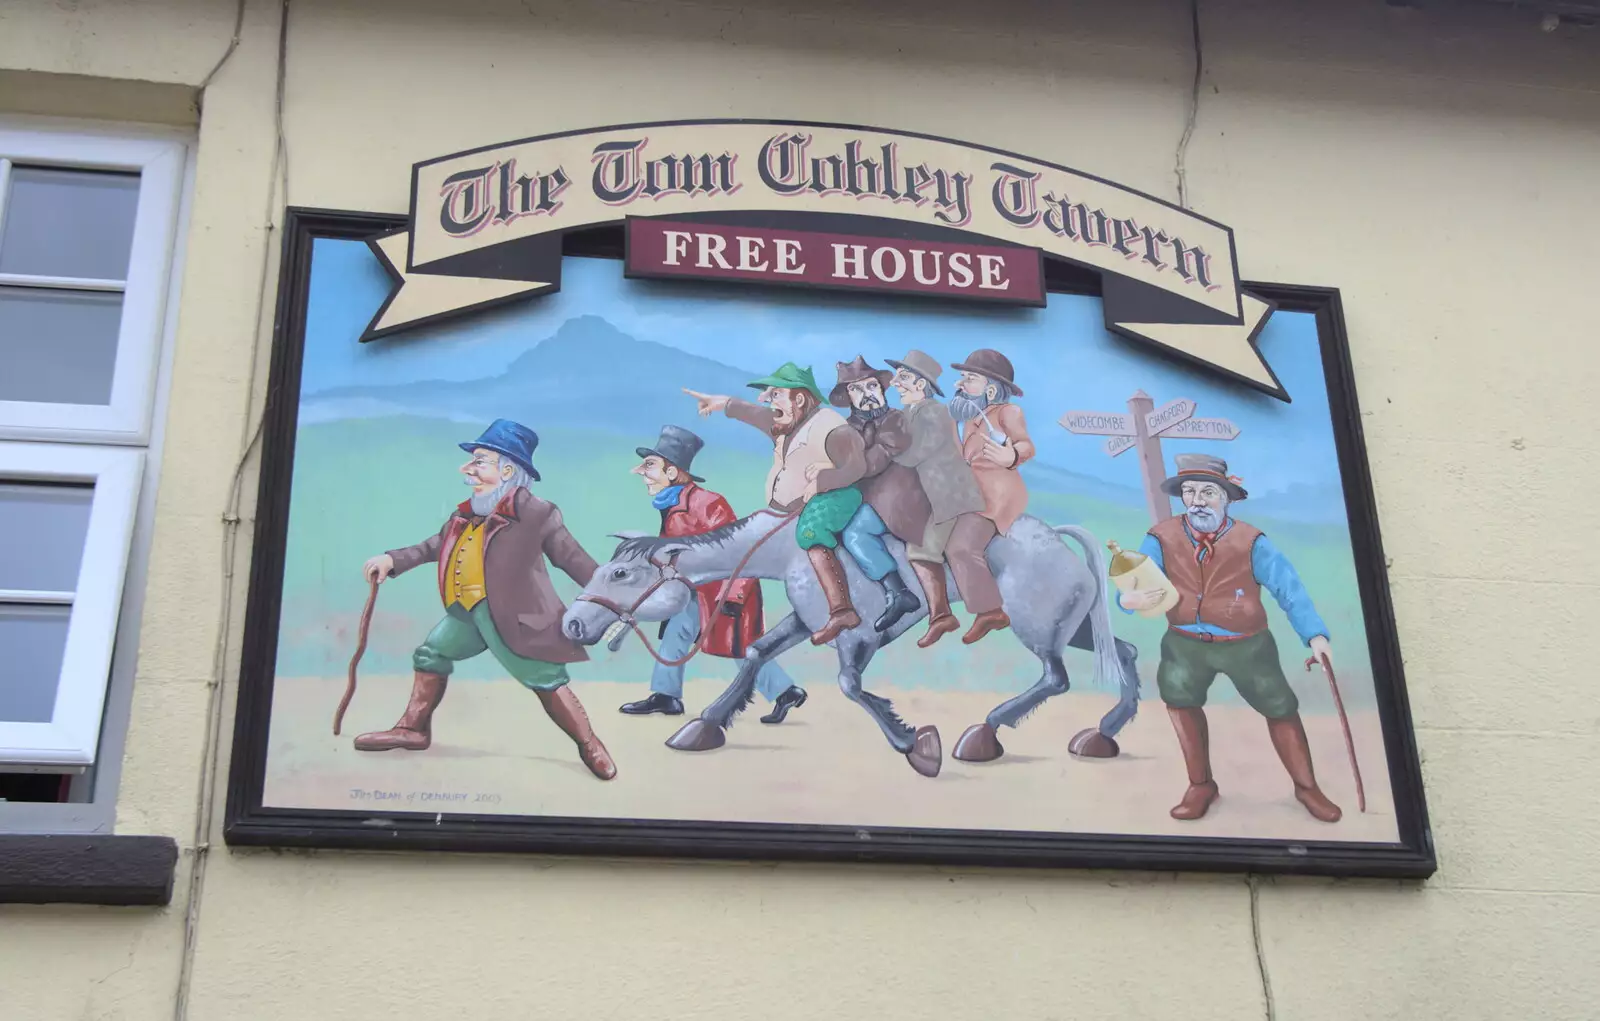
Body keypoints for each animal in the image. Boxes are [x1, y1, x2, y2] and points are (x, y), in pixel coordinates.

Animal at [560, 508, 1139, 780]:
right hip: (1072, 626)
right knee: (1125, 653)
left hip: (1035, 629)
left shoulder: (858, 634)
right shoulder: (807, 621)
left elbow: (850, 686)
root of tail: (1056, 539)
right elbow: (756, 654)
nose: (572, 624)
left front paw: (916, 745)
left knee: (1055, 679)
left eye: (620, 573)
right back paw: (1102, 733)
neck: (791, 549)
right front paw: (704, 726)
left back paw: (983, 734)